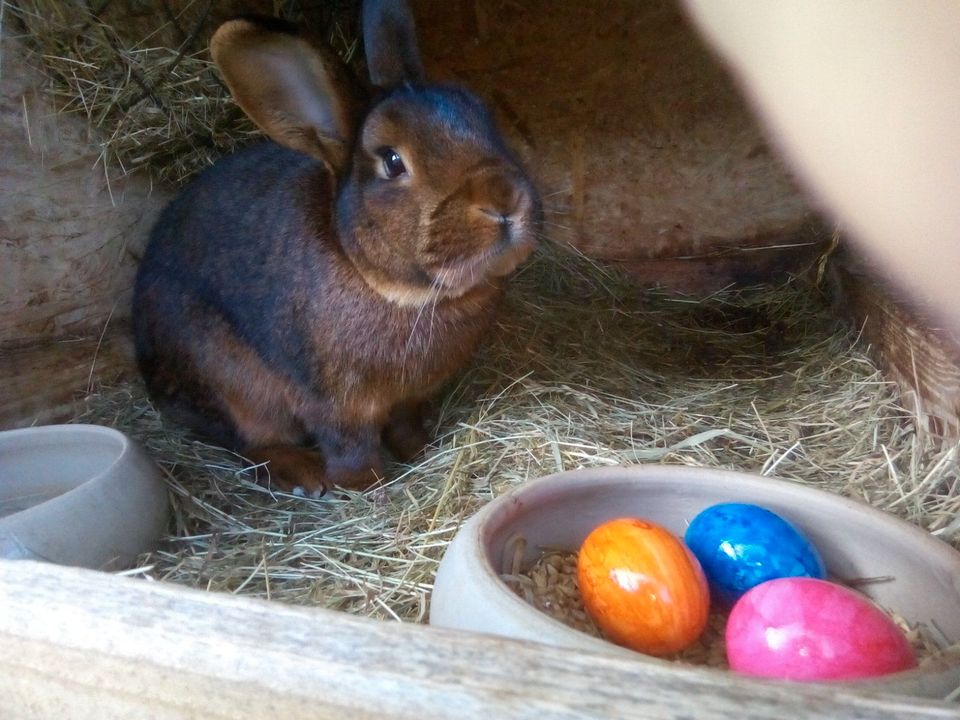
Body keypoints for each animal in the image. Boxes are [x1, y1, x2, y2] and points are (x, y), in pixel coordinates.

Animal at [131, 0, 540, 496]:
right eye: (392, 161)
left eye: (484, 118)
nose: (505, 201)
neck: (396, 290)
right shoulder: (334, 403)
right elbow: (350, 445)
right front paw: (364, 484)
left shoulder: (408, 398)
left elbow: (404, 425)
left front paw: (420, 451)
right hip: (233, 383)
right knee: (252, 444)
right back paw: (304, 474)